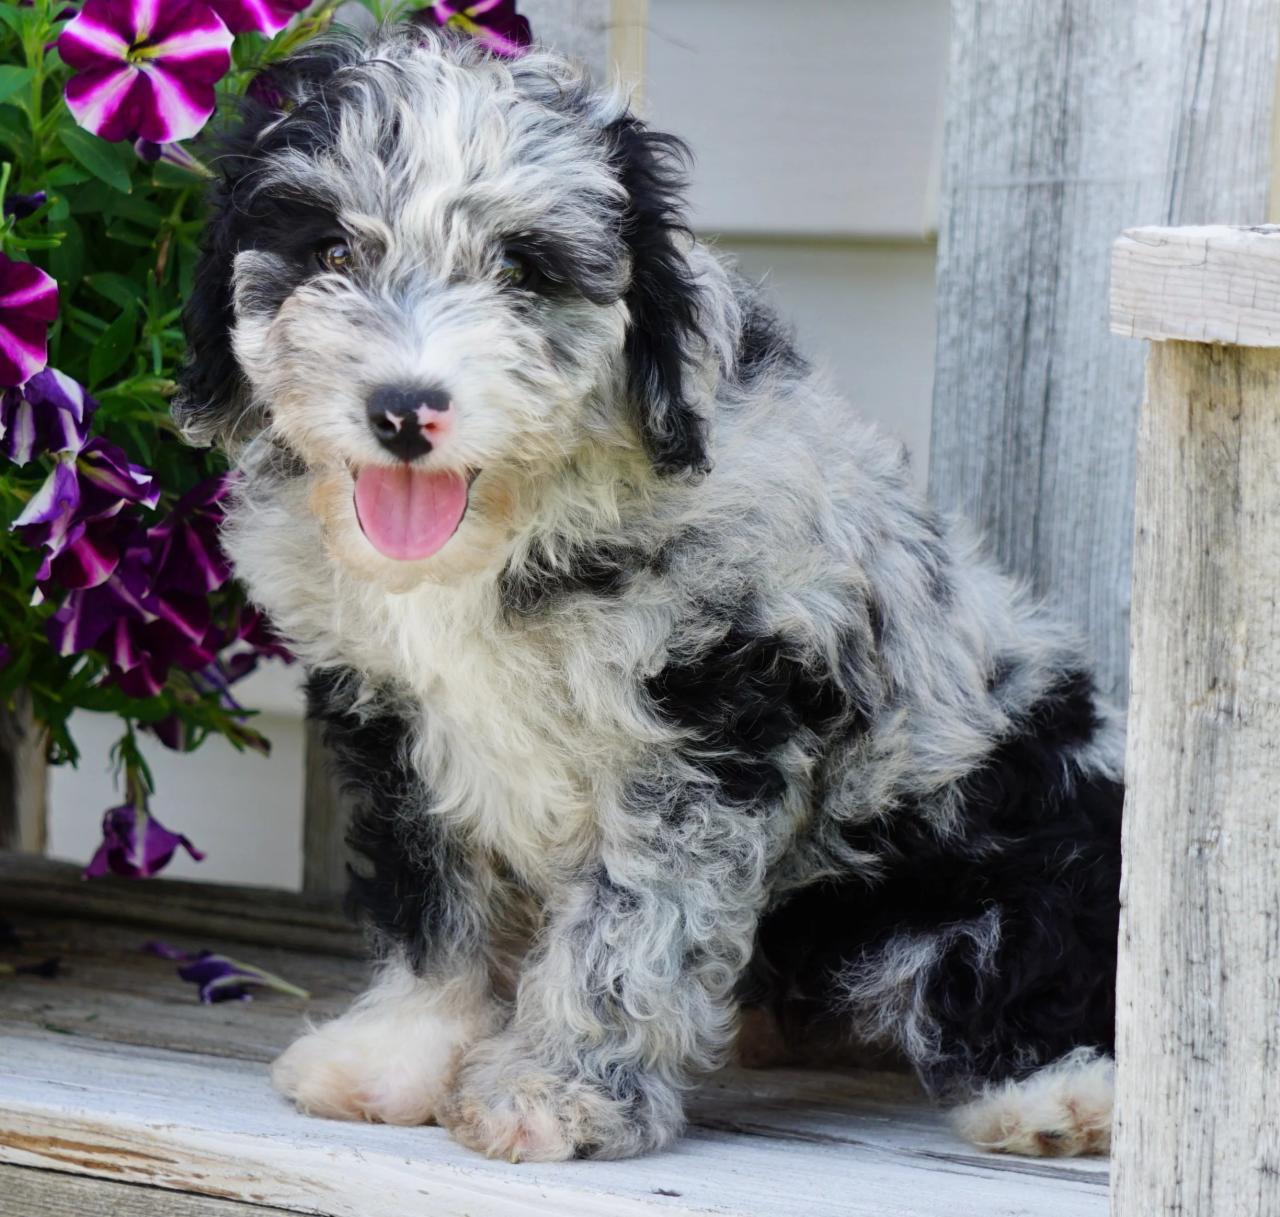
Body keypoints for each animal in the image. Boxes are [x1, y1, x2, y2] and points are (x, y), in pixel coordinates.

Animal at [177, 26, 1121, 1161]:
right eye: (328, 253)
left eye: (521, 269)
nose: (404, 410)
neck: (503, 530)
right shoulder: (395, 714)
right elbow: (430, 889)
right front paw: (398, 1054)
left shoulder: (712, 716)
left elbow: (631, 919)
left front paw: (552, 1089)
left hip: (1000, 824)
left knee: (1008, 952)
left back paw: (1055, 1093)